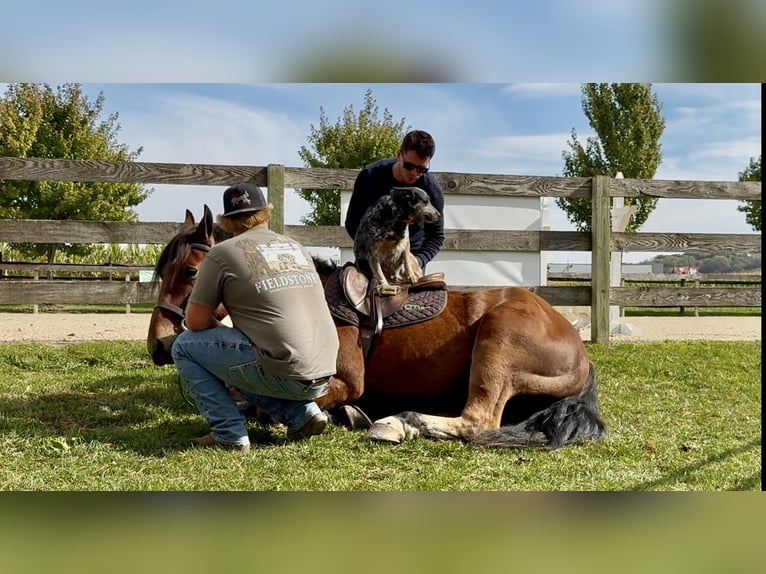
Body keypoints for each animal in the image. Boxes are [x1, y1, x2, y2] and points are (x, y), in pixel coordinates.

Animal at [147, 206, 606, 449]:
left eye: (191, 271)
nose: (159, 345)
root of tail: (578, 349)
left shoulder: (346, 379)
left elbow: (266, 405)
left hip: (499, 337)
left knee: (479, 420)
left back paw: (396, 422)